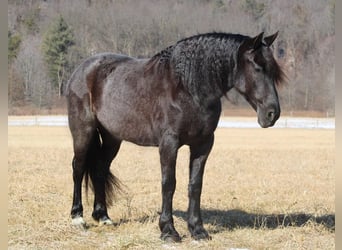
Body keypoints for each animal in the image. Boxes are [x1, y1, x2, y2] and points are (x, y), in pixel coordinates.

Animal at [65, 30, 284, 241]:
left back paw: (103, 217)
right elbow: (169, 183)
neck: (187, 88)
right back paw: (77, 217)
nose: (272, 114)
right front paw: (168, 230)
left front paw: (198, 230)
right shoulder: (169, 143)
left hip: (112, 138)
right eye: (257, 67)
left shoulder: (203, 144)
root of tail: (81, 70)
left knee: (100, 168)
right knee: (78, 168)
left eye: (273, 70)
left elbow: (195, 185)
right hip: (83, 131)